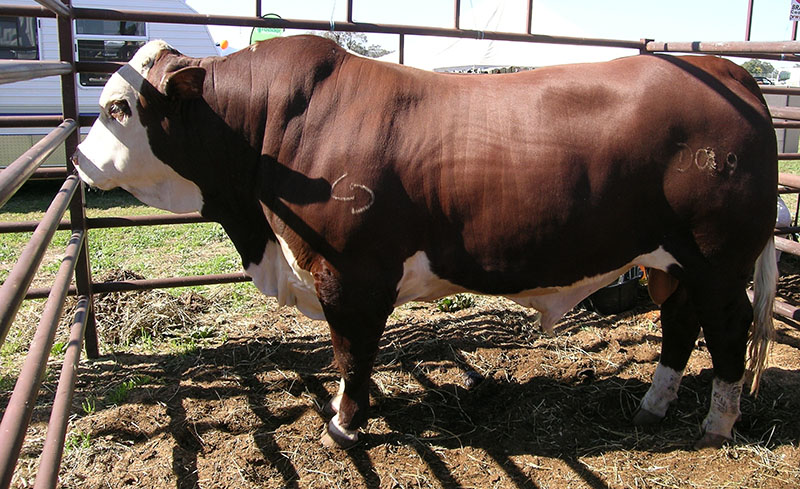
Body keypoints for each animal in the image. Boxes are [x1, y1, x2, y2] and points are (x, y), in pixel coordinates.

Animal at [73, 36, 776, 450]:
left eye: (117, 109)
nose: (77, 159)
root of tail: (727, 70)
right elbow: (355, 354)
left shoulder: (350, 275)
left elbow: (352, 351)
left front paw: (343, 425)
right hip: (675, 261)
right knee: (681, 321)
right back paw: (652, 406)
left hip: (718, 257)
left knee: (727, 326)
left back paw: (717, 422)